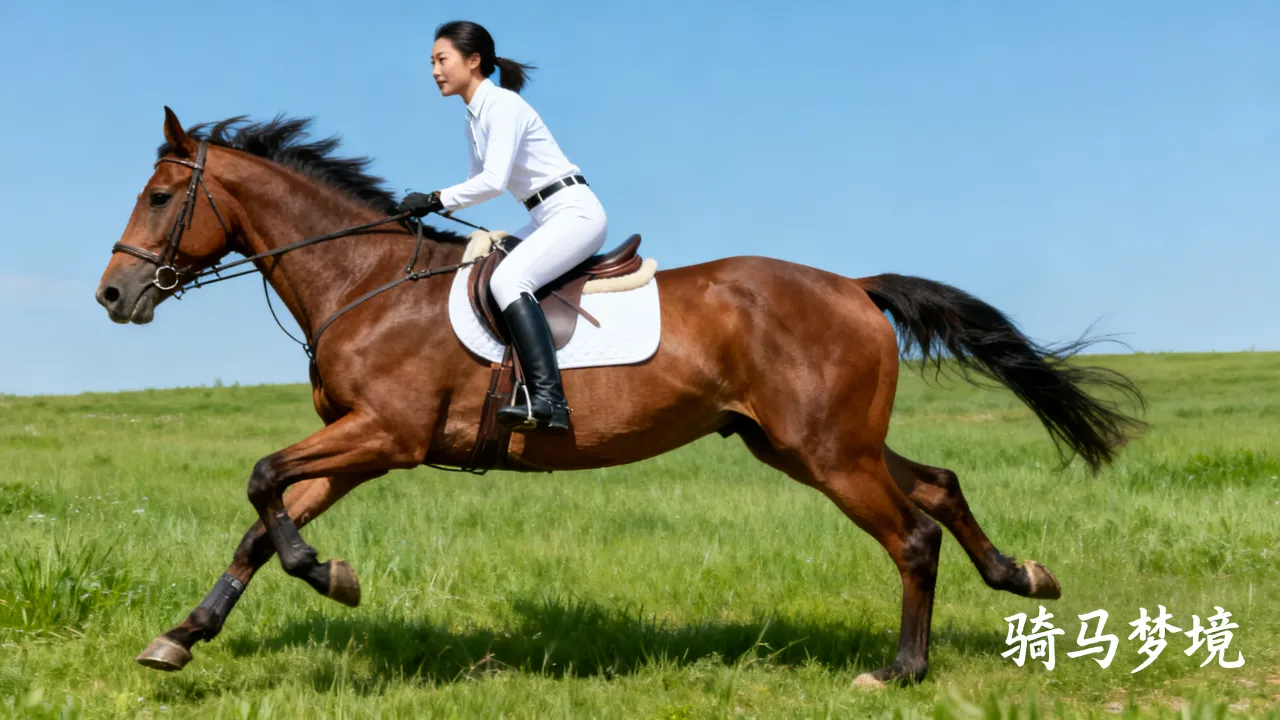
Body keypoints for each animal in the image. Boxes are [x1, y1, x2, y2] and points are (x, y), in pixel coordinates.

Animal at [94, 108, 1145, 686]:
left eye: (159, 196)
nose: (112, 296)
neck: (366, 280)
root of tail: (853, 286)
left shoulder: (385, 435)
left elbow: (262, 483)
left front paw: (332, 577)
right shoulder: (361, 446)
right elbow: (262, 517)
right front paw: (181, 638)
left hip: (825, 451)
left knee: (913, 532)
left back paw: (902, 670)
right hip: (805, 441)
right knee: (940, 484)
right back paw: (1022, 576)